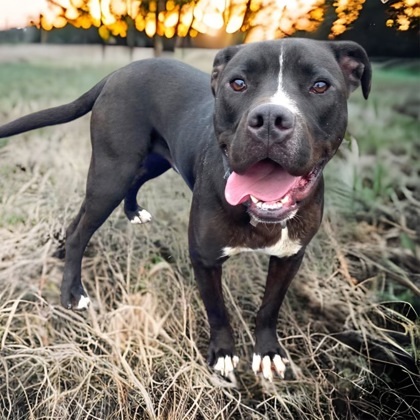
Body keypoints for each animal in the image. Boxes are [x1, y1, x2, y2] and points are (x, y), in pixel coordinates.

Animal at [0, 39, 370, 380]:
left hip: (150, 161)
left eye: (320, 86)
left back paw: (109, 226)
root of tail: (117, 73)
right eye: (238, 83)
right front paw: (223, 354)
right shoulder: (204, 258)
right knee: (82, 230)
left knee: (109, 200)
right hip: (112, 171)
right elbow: (217, 309)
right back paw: (72, 291)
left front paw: (266, 352)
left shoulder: (290, 256)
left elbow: (269, 308)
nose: (268, 119)